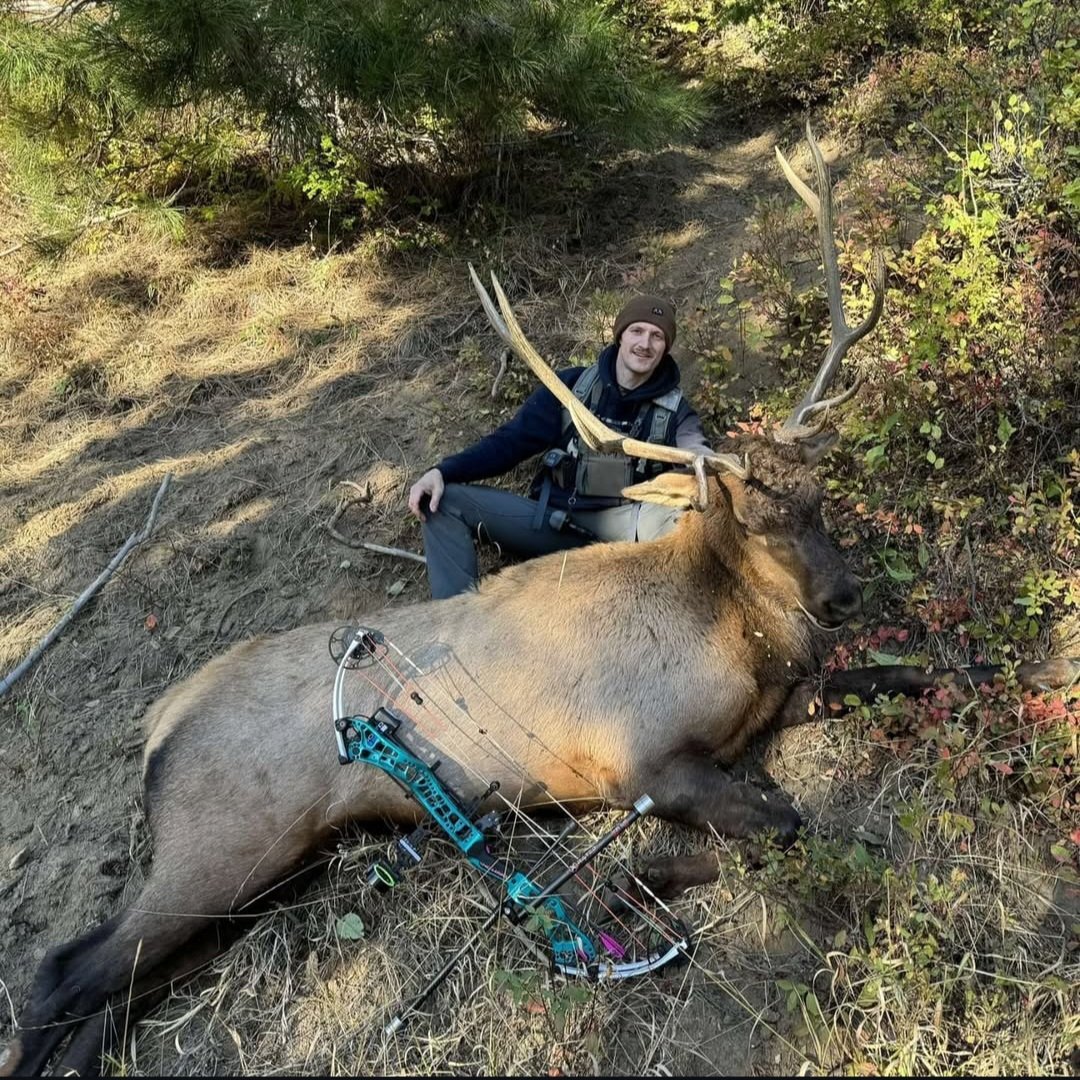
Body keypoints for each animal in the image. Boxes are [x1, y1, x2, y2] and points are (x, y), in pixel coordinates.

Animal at [2, 125, 1075, 1077]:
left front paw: (1006, 680)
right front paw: (627, 893)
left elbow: (906, 675)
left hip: (273, 868)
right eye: (758, 514)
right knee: (60, 974)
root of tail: (157, 728)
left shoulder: (783, 699)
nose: (847, 594)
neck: (738, 635)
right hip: (223, 838)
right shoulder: (644, 759)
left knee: (119, 993)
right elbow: (780, 826)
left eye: (822, 492)